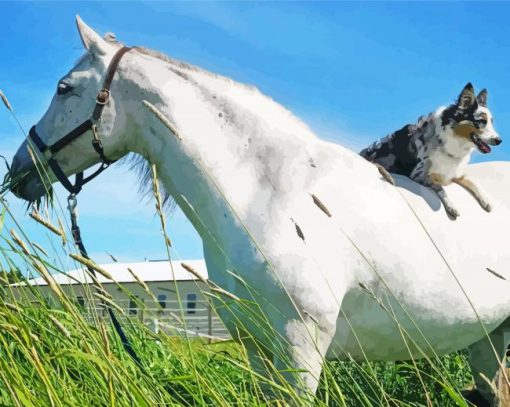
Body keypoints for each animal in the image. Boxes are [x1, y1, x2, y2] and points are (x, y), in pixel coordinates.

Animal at [8, 15, 510, 404]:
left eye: (64, 87)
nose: (18, 170)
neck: (268, 194)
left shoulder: (300, 349)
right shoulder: (257, 347)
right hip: (489, 340)